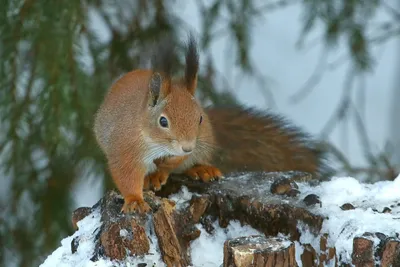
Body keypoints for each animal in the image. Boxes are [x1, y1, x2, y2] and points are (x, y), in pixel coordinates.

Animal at [94, 35, 332, 215]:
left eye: (199, 118)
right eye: (163, 121)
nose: (187, 147)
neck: (155, 144)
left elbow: (176, 161)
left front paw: (166, 167)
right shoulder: (124, 147)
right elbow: (125, 174)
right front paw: (135, 200)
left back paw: (200, 169)